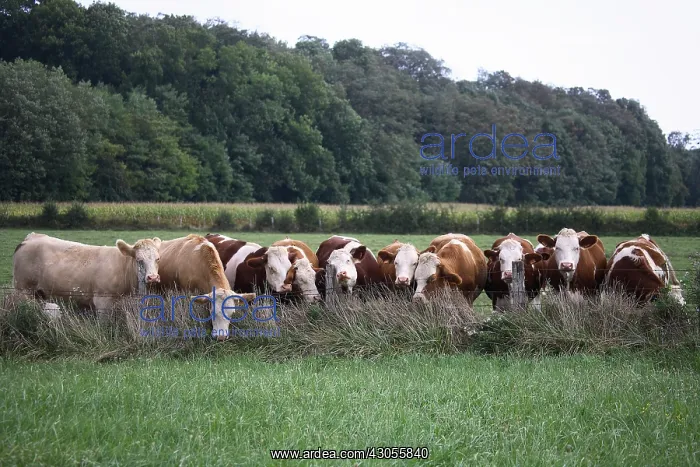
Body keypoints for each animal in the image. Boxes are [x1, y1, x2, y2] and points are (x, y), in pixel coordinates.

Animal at [12, 232, 162, 311]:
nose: (153, 277)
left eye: (158, 259)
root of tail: (31, 237)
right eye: (139, 260)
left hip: (39, 293)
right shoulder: (102, 301)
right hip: (23, 290)